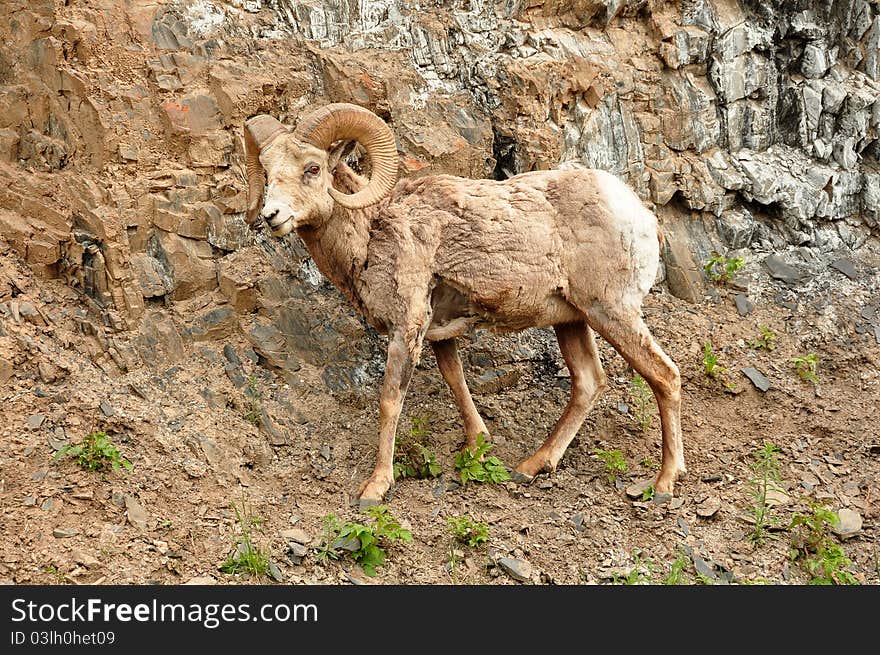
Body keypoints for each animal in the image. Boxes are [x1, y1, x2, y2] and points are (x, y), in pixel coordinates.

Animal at [244, 102, 684, 504]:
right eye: (266, 170)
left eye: (312, 168)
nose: (271, 215)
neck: (371, 232)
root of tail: (642, 217)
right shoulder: (441, 332)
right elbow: (456, 382)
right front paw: (478, 447)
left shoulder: (407, 327)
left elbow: (390, 402)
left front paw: (376, 487)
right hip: (572, 321)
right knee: (589, 382)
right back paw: (531, 466)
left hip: (611, 312)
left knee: (664, 376)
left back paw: (663, 484)